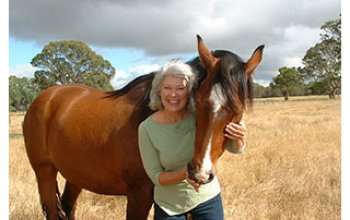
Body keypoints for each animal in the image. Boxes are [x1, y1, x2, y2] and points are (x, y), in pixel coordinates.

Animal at [22, 35, 262, 219]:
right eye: (199, 98)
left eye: (237, 108)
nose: (200, 174)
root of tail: (46, 97)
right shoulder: (139, 194)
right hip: (44, 173)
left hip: (76, 174)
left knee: (68, 206)